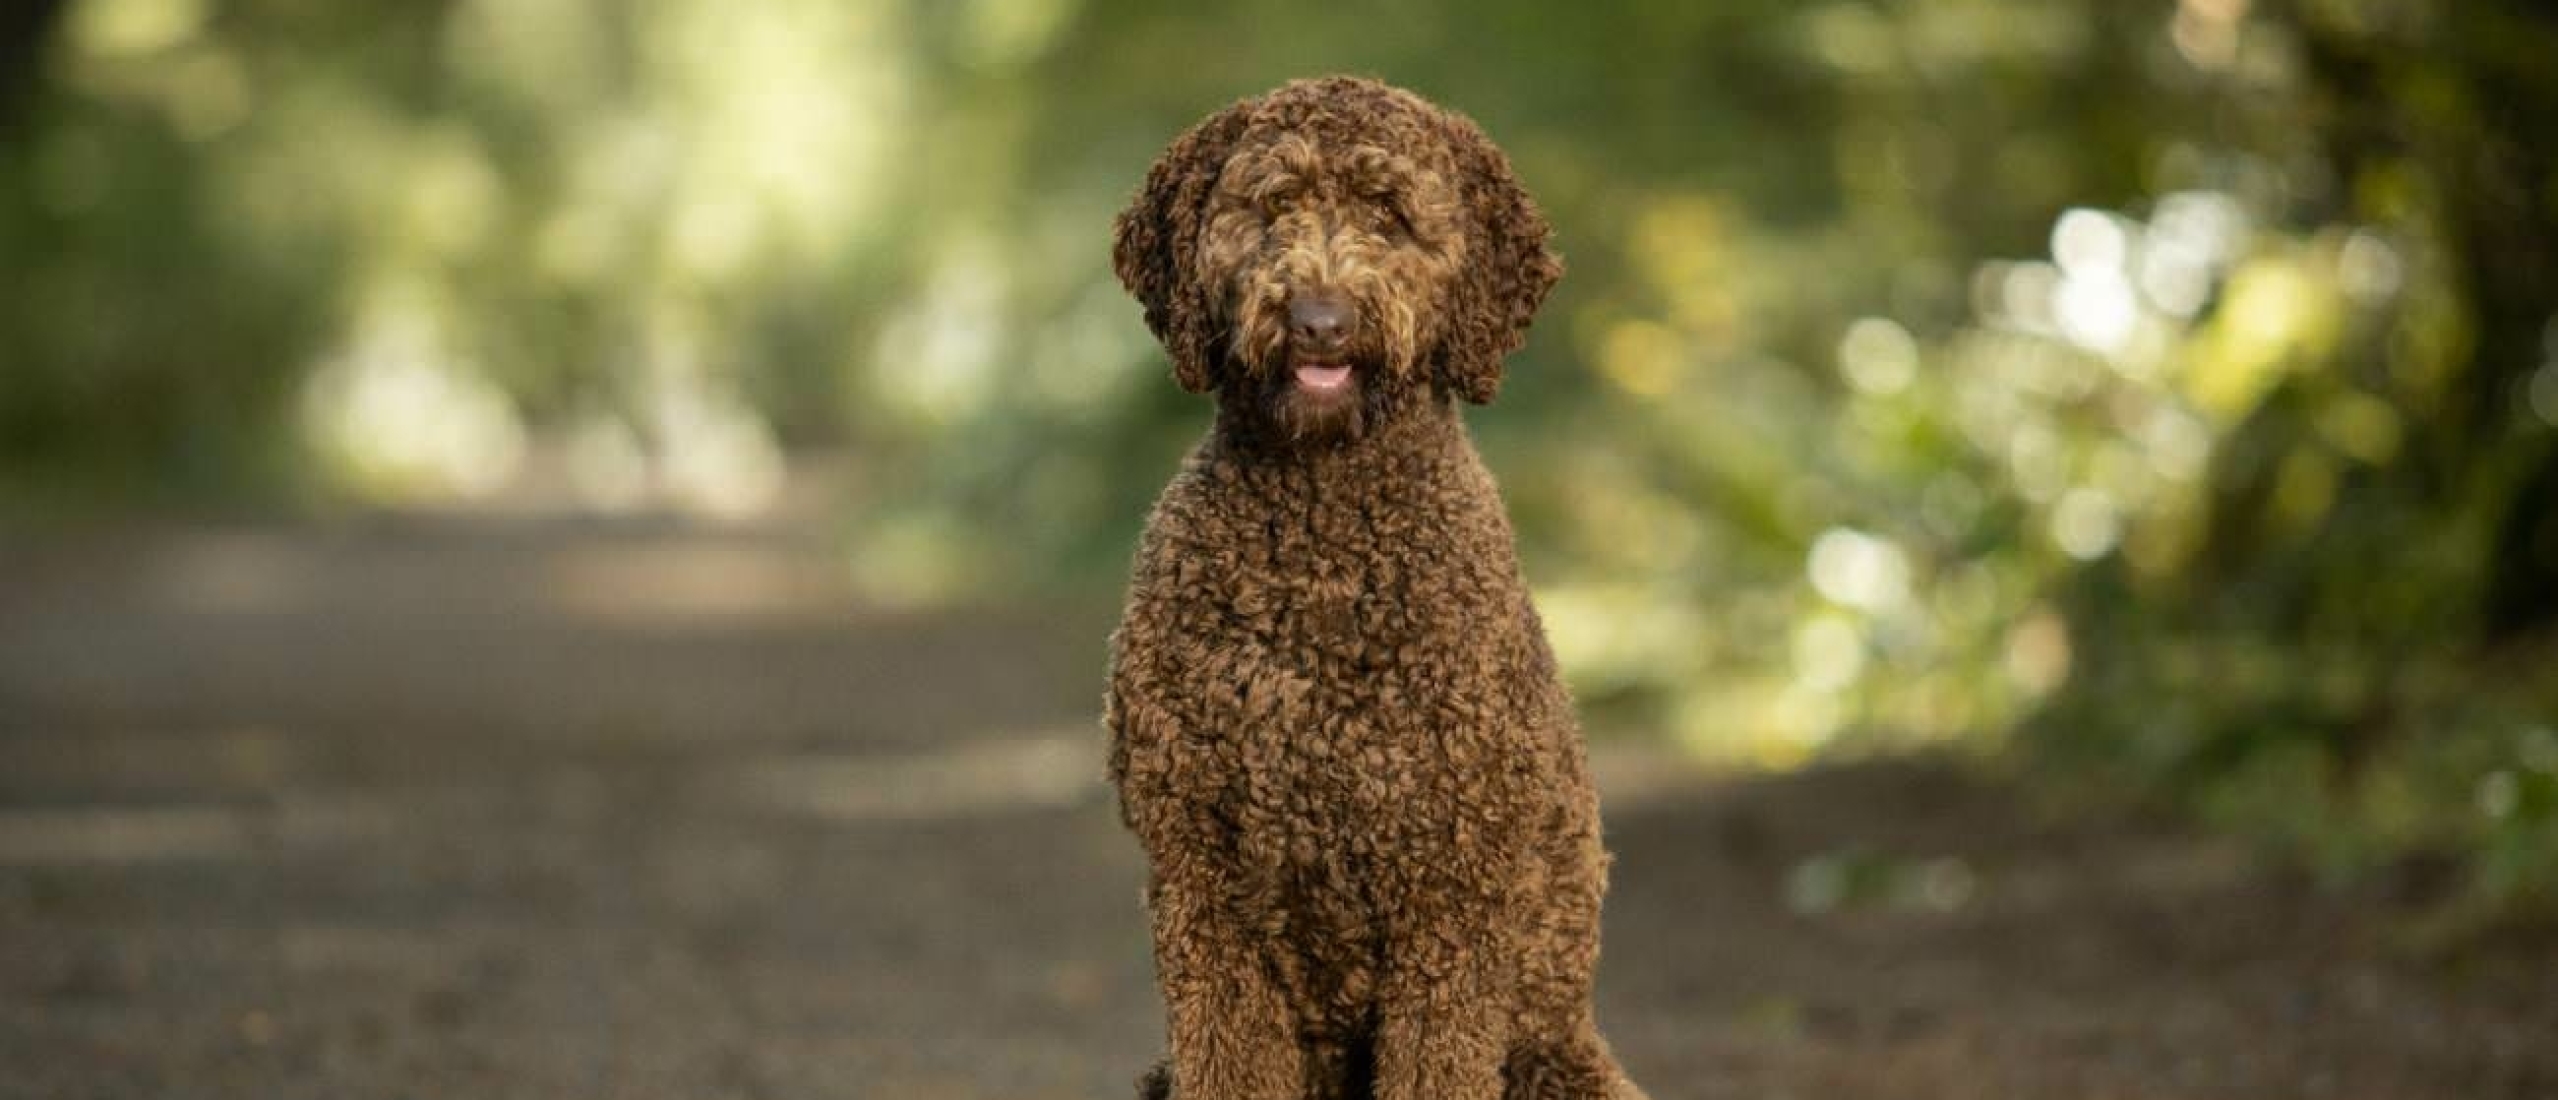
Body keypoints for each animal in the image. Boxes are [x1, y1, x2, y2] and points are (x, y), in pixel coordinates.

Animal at [1110, 77, 1647, 1100]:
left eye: (1390, 216)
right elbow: (1228, 1052)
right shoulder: (1200, 880)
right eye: (1271, 208)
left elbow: (1438, 1054)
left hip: (1555, 1057)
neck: (1323, 540)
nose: (1320, 319)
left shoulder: (1454, 893)